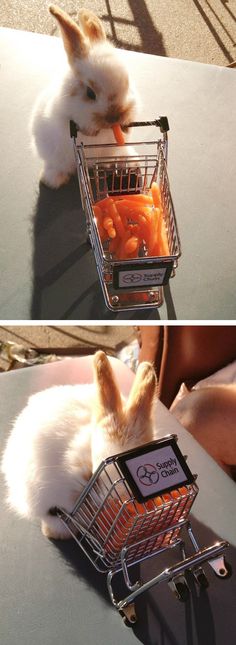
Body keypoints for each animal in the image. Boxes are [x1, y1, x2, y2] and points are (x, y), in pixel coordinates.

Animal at [30, 5, 139, 189]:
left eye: (128, 83)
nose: (115, 117)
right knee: (57, 165)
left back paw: (129, 162)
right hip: (52, 153)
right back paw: (52, 180)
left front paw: (124, 127)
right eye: (90, 93)